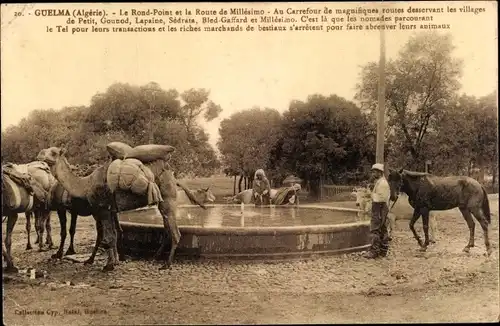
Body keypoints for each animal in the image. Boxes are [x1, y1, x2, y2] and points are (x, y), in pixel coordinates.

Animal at [38, 146, 204, 272]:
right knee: (167, 230)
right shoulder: (110, 210)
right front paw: (114, 262)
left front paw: (109, 266)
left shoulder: (103, 209)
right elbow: (114, 235)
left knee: (175, 232)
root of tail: (172, 174)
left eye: (53, 152)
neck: (85, 184)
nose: (40, 154)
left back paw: (167, 264)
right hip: (162, 202)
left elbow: (109, 237)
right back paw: (157, 257)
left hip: (168, 199)